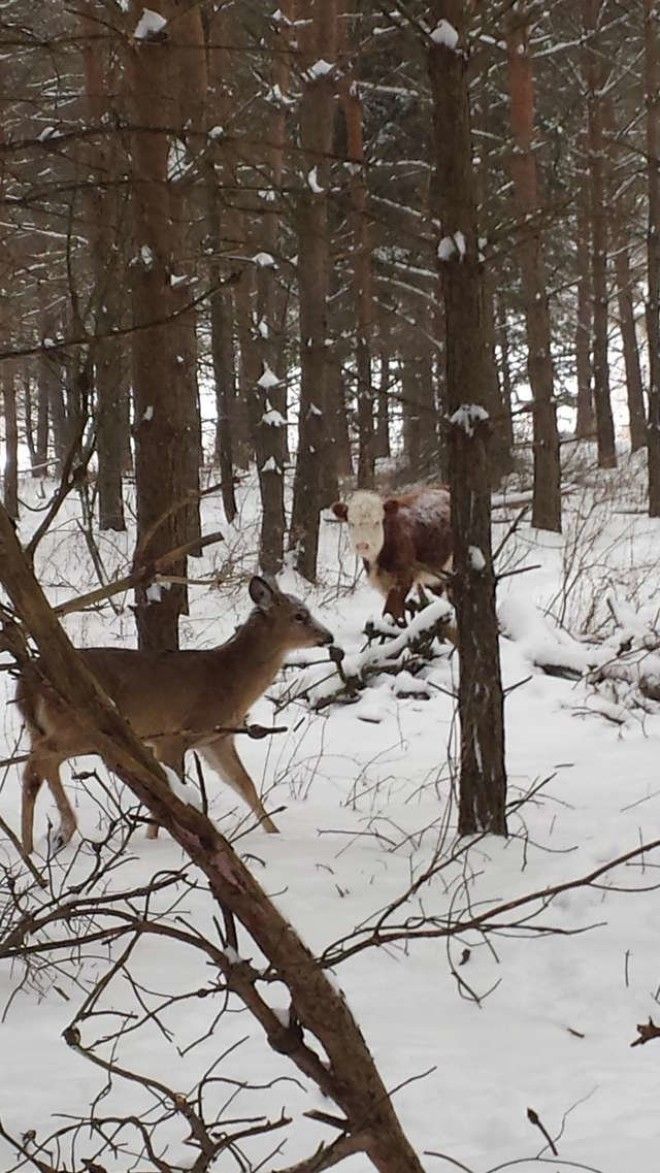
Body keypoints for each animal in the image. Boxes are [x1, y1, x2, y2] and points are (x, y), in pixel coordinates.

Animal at [15, 574, 335, 853]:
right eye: (300, 615)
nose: (328, 636)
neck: (229, 679)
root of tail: (26, 685)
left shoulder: (215, 740)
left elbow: (244, 784)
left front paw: (274, 833)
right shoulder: (174, 735)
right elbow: (172, 790)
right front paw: (159, 838)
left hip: (47, 729)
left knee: (40, 768)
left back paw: (46, 839)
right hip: (79, 726)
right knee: (38, 763)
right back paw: (44, 840)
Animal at [330, 480, 454, 624]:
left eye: (377, 522)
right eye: (351, 523)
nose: (362, 545)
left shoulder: (404, 576)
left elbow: (390, 611)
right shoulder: (383, 584)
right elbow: (398, 612)